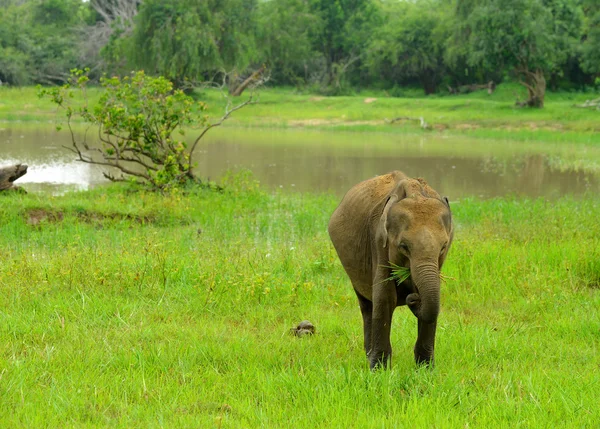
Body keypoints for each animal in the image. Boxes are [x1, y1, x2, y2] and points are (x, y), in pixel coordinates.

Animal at [328, 171, 454, 368]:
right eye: (403, 246)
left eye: (443, 247)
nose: (413, 297)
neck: (415, 192)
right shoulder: (379, 242)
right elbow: (385, 297)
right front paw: (378, 369)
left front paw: (425, 369)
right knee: (367, 305)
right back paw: (369, 355)